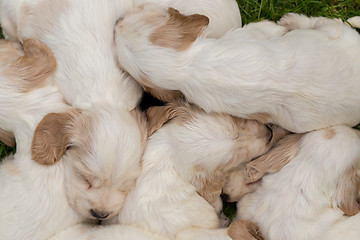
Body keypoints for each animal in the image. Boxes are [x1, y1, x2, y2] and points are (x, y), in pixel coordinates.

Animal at [114, 3, 360, 133]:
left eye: (144, 14)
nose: (116, 22)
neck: (191, 66)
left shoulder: (245, 35)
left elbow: (263, 29)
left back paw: (291, 20)